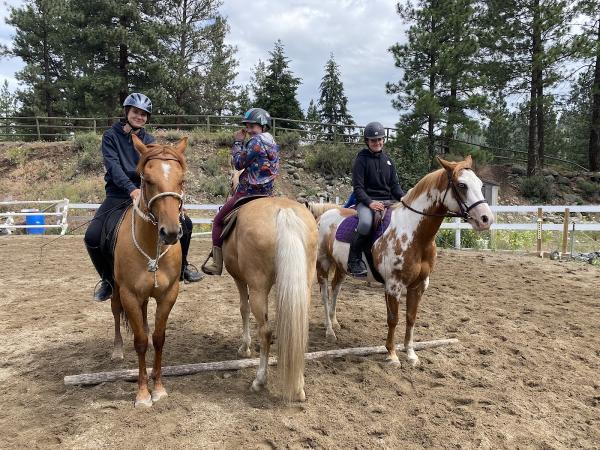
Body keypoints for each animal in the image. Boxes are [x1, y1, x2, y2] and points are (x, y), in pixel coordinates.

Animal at [110, 135, 189, 406]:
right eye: (147, 180)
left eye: (181, 180)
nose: (171, 232)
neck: (151, 249)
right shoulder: (130, 296)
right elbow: (141, 341)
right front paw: (143, 393)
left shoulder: (168, 294)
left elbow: (157, 338)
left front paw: (159, 387)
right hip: (116, 291)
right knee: (116, 314)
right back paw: (117, 349)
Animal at [316, 156, 494, 368]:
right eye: (462, 185)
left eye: (480, 184)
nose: (486, 219)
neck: (414, 234)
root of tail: (324, 215)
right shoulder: (393, 285)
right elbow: (394, 319)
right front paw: (392, 355)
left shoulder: (419, 285)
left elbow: (411, 318)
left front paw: (410, 353)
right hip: (323, 264)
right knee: (325, 294)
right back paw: (329, 331)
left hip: (342, 268)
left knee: (335, 289)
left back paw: (334, 322)